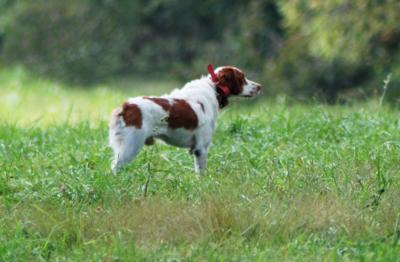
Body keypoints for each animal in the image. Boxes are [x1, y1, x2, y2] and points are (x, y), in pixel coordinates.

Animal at [108, 64, 262, 173]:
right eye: (242, 78)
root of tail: (126, 106)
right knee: (115, 169)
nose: (260, 86)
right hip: (130, 147)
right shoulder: (201, 148)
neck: (213, 89)